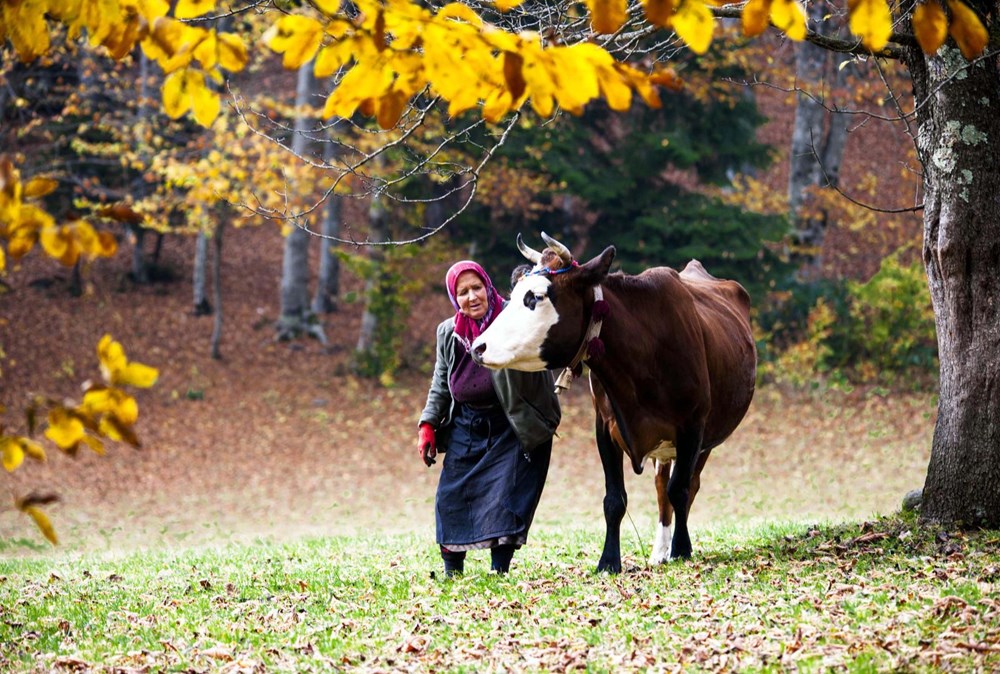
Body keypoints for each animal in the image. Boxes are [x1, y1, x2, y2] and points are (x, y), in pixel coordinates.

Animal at [472, 234, 752, 568]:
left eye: (535, 298)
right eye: (513, 294)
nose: (478, 346)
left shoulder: (693, 426)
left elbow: (681, 490)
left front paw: (682, 549)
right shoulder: (605, 427)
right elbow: (614, 499)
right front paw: (608, 562)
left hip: (705, 438)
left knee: (685, 486)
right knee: (661, 488)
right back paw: (659, 551)